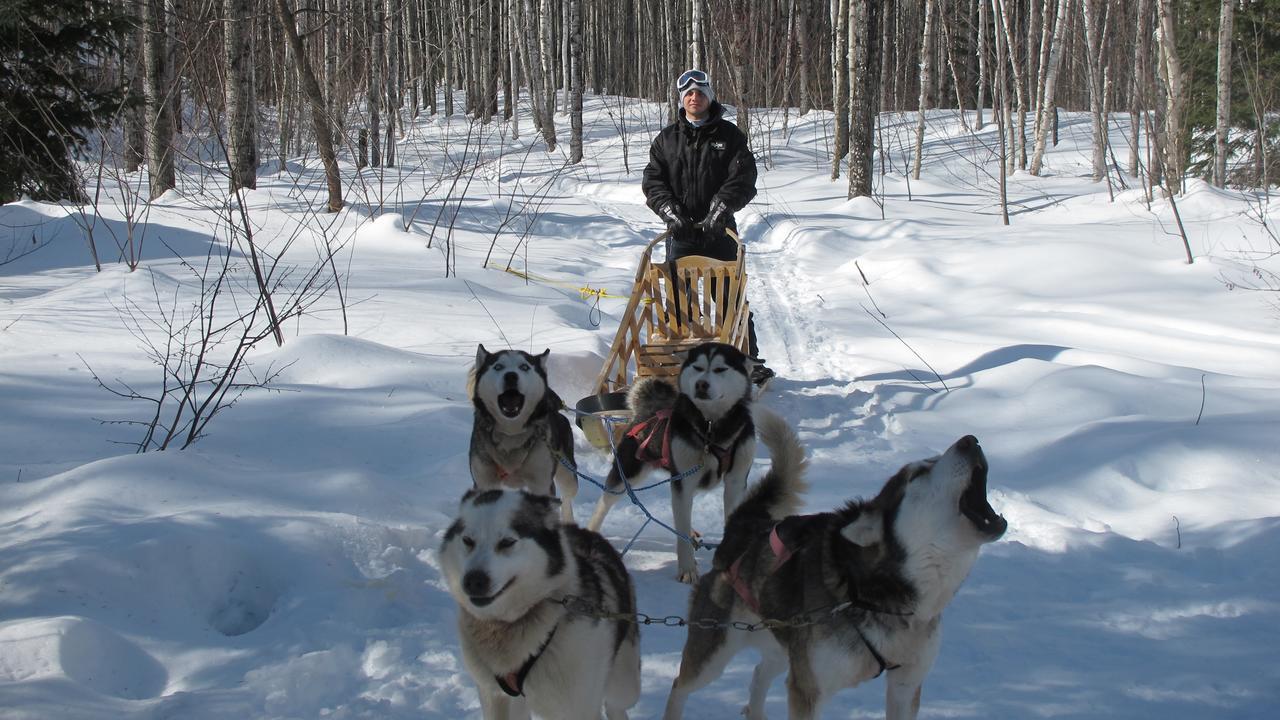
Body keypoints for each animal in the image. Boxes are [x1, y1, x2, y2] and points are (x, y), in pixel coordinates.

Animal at [440, 486, 645, 717]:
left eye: (507, 542)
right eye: (467, 541)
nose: (473, 581)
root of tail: (585, 531)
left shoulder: (578, 706)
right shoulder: (494, 695)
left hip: (625, 683)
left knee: (615, 703)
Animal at [468, 343, 578, 520]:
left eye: (524, 367)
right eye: (498, 366)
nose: (511, 376)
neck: (511, 433)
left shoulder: (541, 484)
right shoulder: (484, 482)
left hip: (568, 475)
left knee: (566, 498)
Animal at [586, 340, 752, 584]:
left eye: (721, 369)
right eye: (698, 367)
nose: (701, 384)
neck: (711, 430)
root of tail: (647, 409)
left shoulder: (736, 481)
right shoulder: (683, 481)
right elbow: (680, 531)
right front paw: (687, 569)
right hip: (628, 474)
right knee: (604, 503)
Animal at [660, 409, 1008, 717]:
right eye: (918, 473)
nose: (970, 440)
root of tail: (745, 525)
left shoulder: (906, 686)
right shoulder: (808, 692)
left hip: (783, 647)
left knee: (759, 673)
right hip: (714, 655)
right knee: (679, 686)